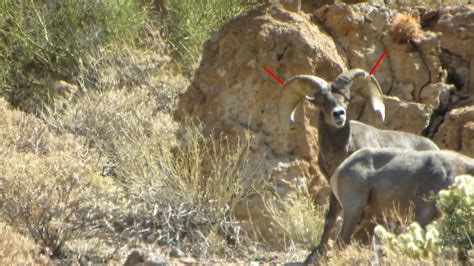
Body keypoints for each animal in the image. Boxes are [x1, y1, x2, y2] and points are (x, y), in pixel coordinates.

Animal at [278, 68, 440, 264]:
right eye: (322, 102)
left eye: (346, 99)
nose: (339, 114)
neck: (342, 151)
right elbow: (330, 219)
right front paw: (315, 255)